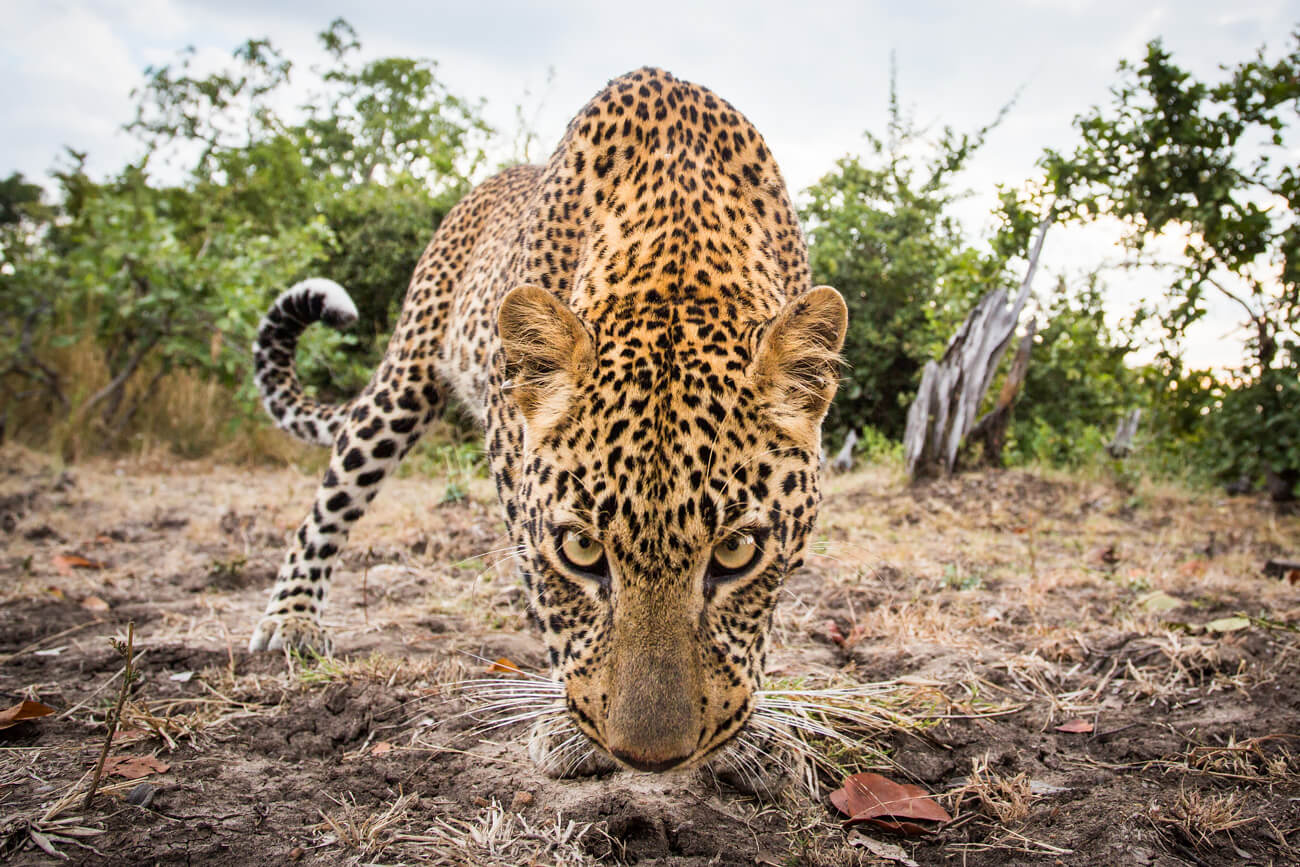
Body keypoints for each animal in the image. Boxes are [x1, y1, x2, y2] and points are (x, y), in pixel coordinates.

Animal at [248, 64, 847, 774]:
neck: (678, 261)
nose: (649, 760)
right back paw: (291, 620)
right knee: (331, 500)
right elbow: (550, 602)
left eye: (736, 553)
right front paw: (566, 730)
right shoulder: (513, 457)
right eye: (581, 551)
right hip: (402, 382)